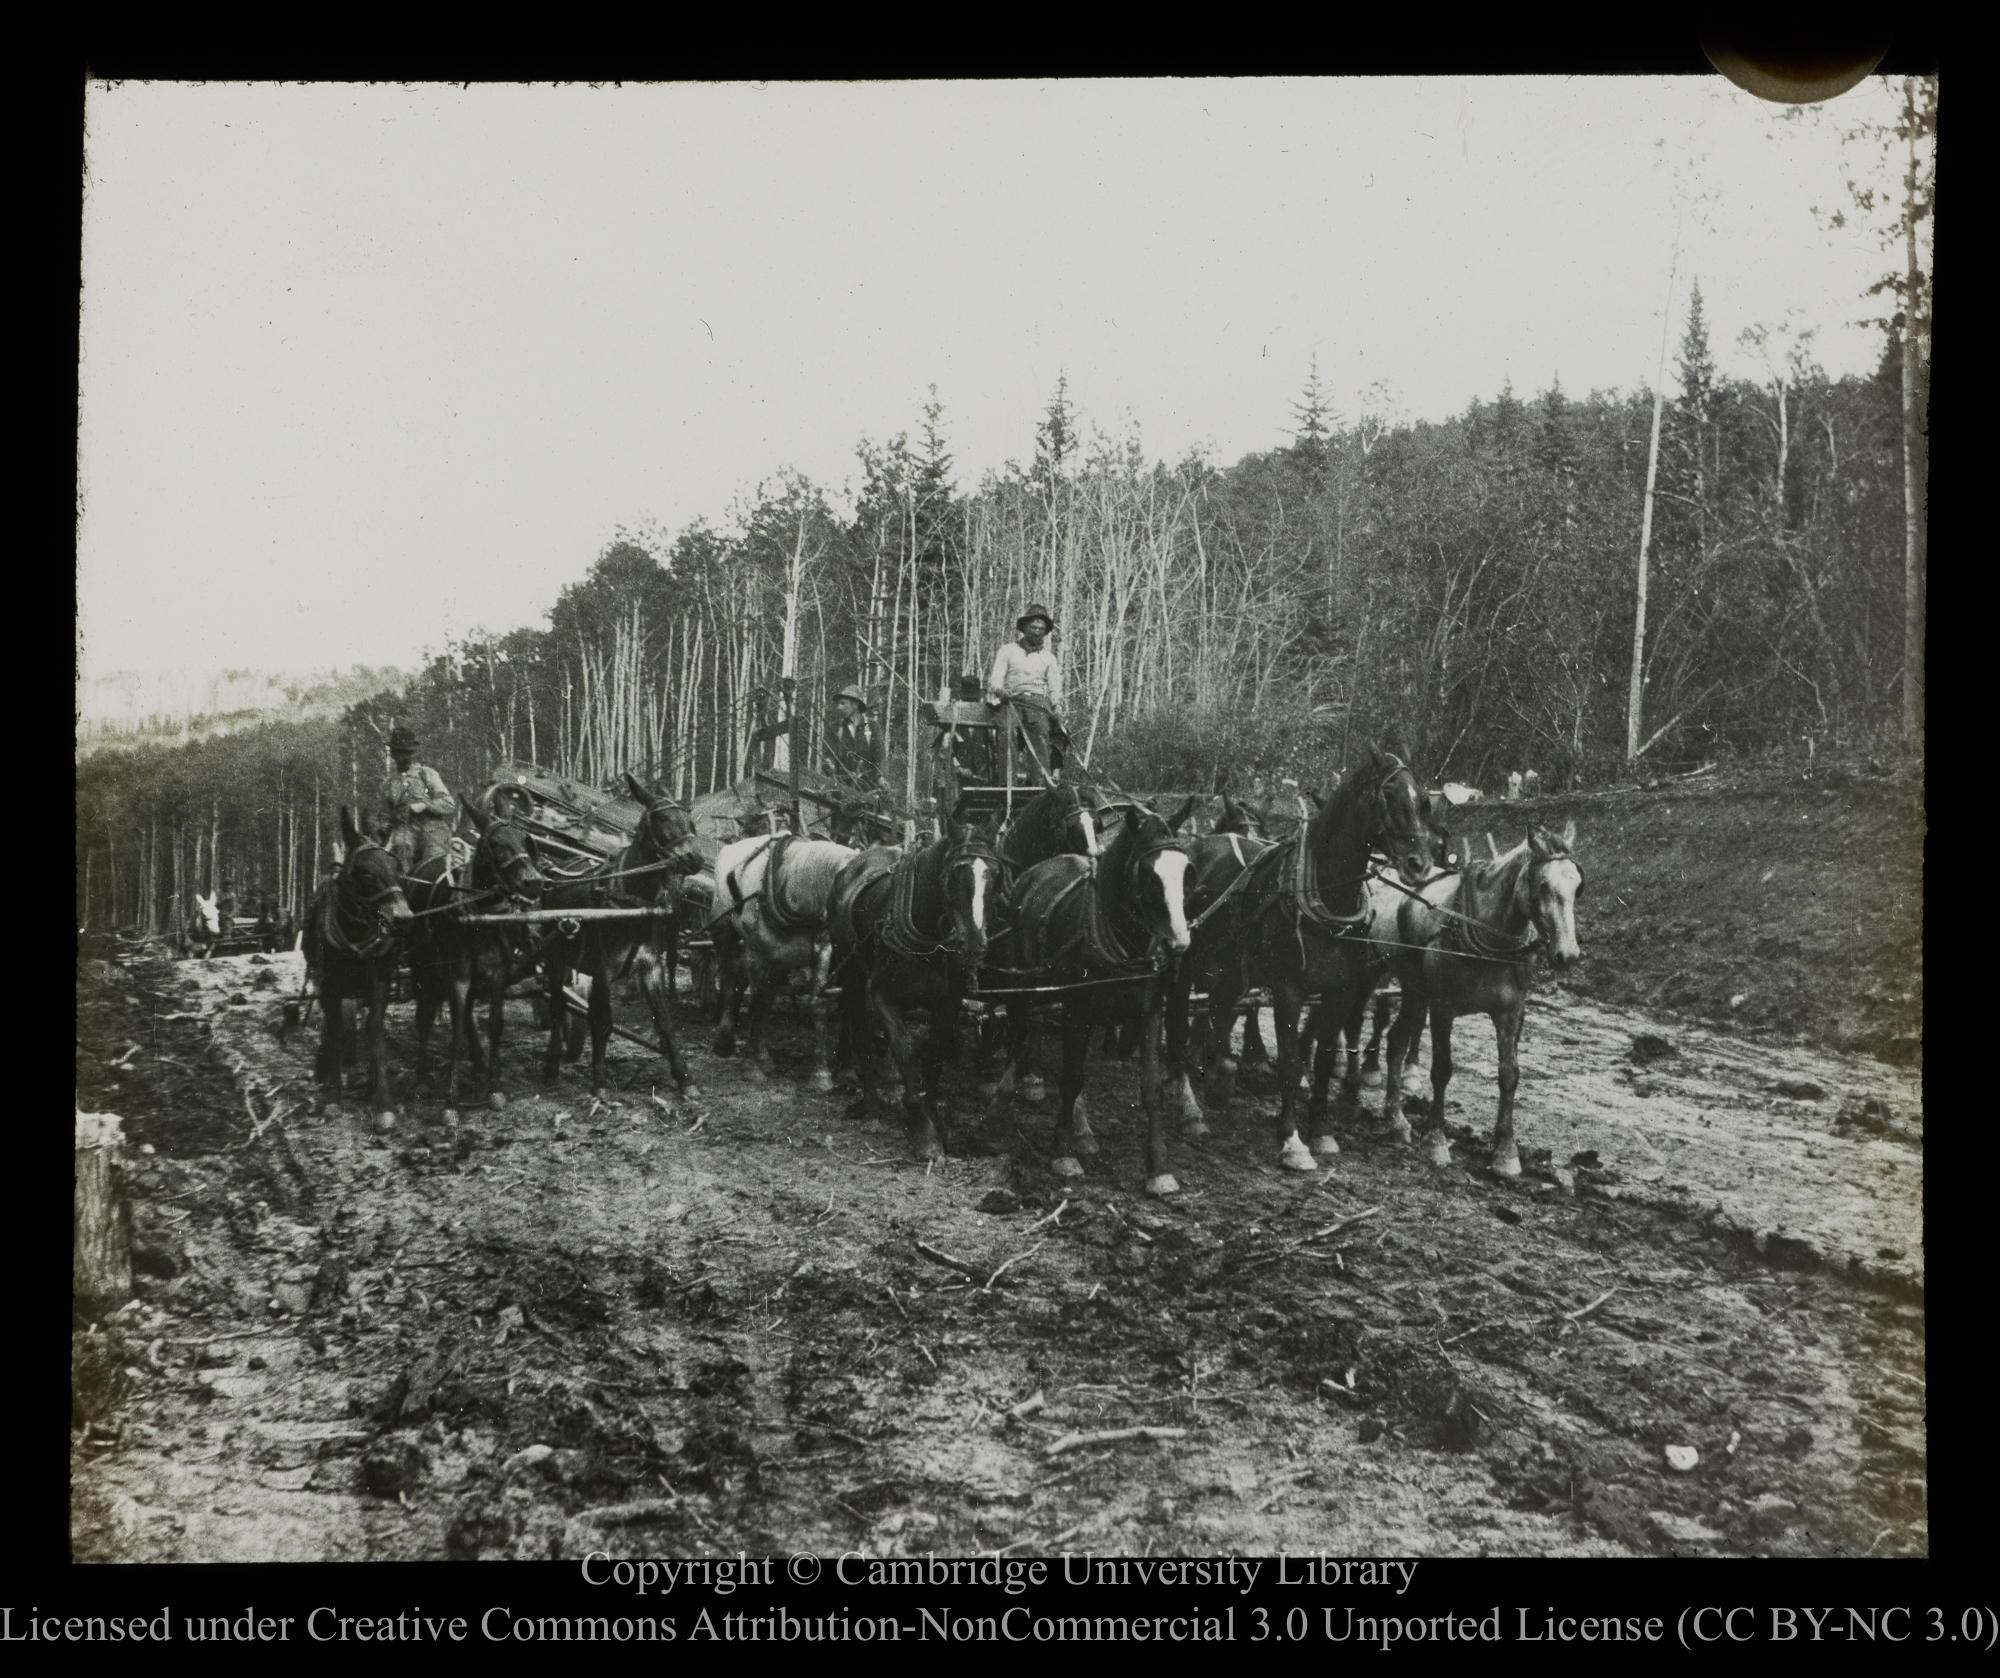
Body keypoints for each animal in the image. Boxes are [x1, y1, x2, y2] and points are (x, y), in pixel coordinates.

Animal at [300, 808, 414, 1120]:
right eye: (364, 871)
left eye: (396, 867)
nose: (404, 918)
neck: (355, 934)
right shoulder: (330, 984)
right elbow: (336, 1032)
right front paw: (334, 1096)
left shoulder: (379, 981)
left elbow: (375, 1032)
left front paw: (382, 1100)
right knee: (330, 1027)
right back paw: (324, 1072)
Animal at [404, 804, 548, 1112]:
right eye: (494, 844)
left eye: (526, 841)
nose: (534, 881)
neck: (483, 915)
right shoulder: (459, 973)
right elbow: (457, 1031)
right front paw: (451, 1100)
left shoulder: (498, 972)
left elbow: (494, 1025)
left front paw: (493, 1085)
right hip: (422, 966)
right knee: (425, 1017)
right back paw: (422, 1078)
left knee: (467, 1013)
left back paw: (479, 1070)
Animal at [540, 776, 704, 1096]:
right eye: (662, 818)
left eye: (689, 819)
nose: (695, 858)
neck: (634, 901)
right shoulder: (603, 968)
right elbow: (603, 1021)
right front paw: (600, 1080)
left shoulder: (650, 966)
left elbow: (664, 1021)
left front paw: (683, 1076)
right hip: (554, 957)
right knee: (556, 1006)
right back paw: (552, 1065)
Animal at [828, 816, 1008, 1160]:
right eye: (954, 875)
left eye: (995, 875)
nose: (976, 945)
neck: (926, 936)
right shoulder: (881, 996)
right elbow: (905, 1050)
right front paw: (921, 1127)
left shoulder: (948, 1002)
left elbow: (934, 1053)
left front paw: (932, 1116)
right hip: (852, 975)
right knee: (861, 1036)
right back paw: (870, 1105)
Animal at [1168, 756, 1440, 1176]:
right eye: (1389, 796)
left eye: (1424, 800)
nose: (1418, 864)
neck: (1327, 897)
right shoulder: (1288, 988)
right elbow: (1293, 1062)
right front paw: (1292, 1140)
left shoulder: (1341, 990)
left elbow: (1324, 1059)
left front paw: (1322, 1130)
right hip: (1187, 964)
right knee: (1183, 1021)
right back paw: (1188, 1104)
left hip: (1230, 966)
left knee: (1218, 1009)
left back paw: (1219, 1078)